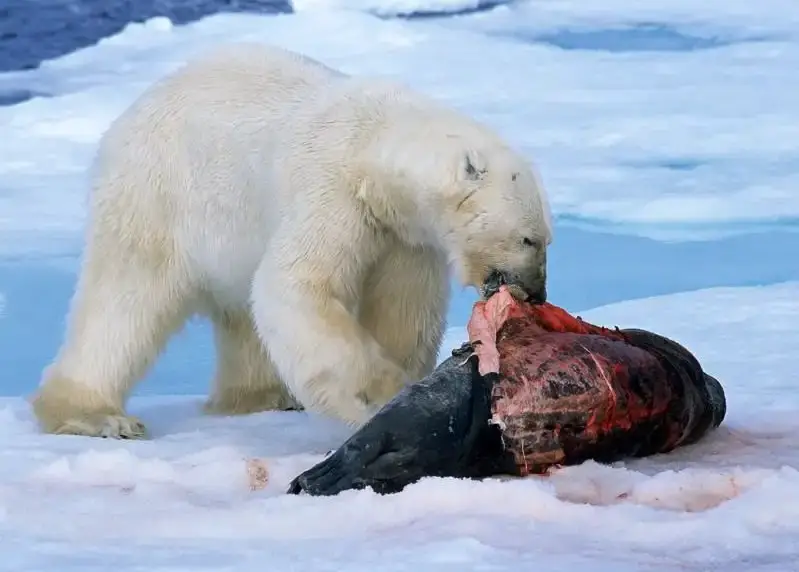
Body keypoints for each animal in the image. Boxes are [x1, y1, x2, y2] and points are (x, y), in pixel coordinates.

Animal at [30, 43, 553, 439]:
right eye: (529, 239)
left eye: (546, 238)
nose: (535, 292)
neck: (376, 145)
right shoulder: (332, 190)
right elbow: (298, 285)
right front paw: (380, 391)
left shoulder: (403, 234)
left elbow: (402, 310)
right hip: (159, 194)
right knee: (125, 300)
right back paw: (97, 415)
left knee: (239, 315)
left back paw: (261, 395)